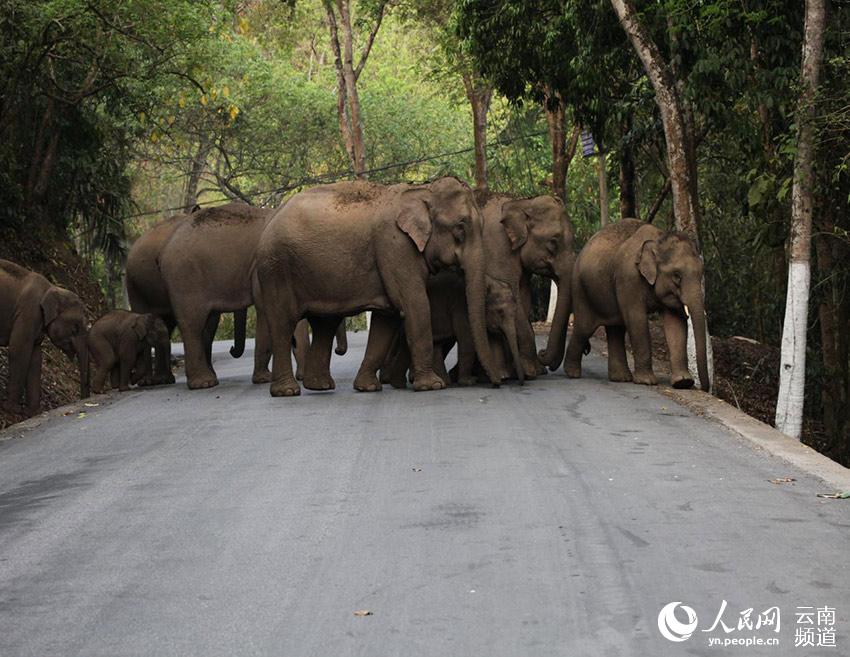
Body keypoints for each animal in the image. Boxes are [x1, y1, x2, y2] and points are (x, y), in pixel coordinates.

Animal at [0, 258, 89, 416]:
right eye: (75, 328)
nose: (83, 399)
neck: (51, 288)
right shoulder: (28, 313)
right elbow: (19, 350)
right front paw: (12, 409)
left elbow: (36, 358)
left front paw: (33, 412)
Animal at [255, 176, 500, 394]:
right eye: (460, 228)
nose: (497, 383)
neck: (423, 191)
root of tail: (272, 216)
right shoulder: (396, 246)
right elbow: (415, 304)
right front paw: (432, 386)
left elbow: (387, 319)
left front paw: (368, 388)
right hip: (276, 268)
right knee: (283, 323)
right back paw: (287, 391)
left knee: (325, 325)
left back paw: (320, 386)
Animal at [564, 219, 708, 390]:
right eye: (677, 276)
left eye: (701, 275)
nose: (705, 388)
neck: (658, 240)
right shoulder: (629, 278)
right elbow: (637, 320)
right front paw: (647, 381)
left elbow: (675, 323)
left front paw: (682, 382)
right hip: (580, 289)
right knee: (584, 328)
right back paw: (572, 374)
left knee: (616, 329)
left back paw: (621, 378)